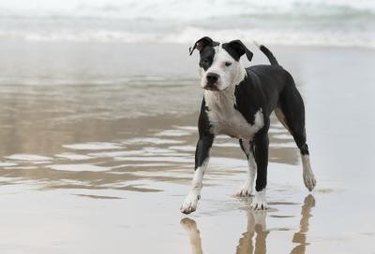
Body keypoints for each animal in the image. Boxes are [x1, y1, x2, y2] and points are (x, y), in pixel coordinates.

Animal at [181, 36, 318, 214]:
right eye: (206, 60)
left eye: (227, 63)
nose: (212, 76)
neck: (226, 97)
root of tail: (277, 67)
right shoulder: (205, 138)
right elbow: (198, 174)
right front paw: (190, 201)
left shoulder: (262, 139)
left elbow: (263, 174)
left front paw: (259, 202)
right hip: (244, 139)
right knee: (252, 164)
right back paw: (246, 188)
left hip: (294, 122)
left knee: (303, 147)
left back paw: (309, 178)